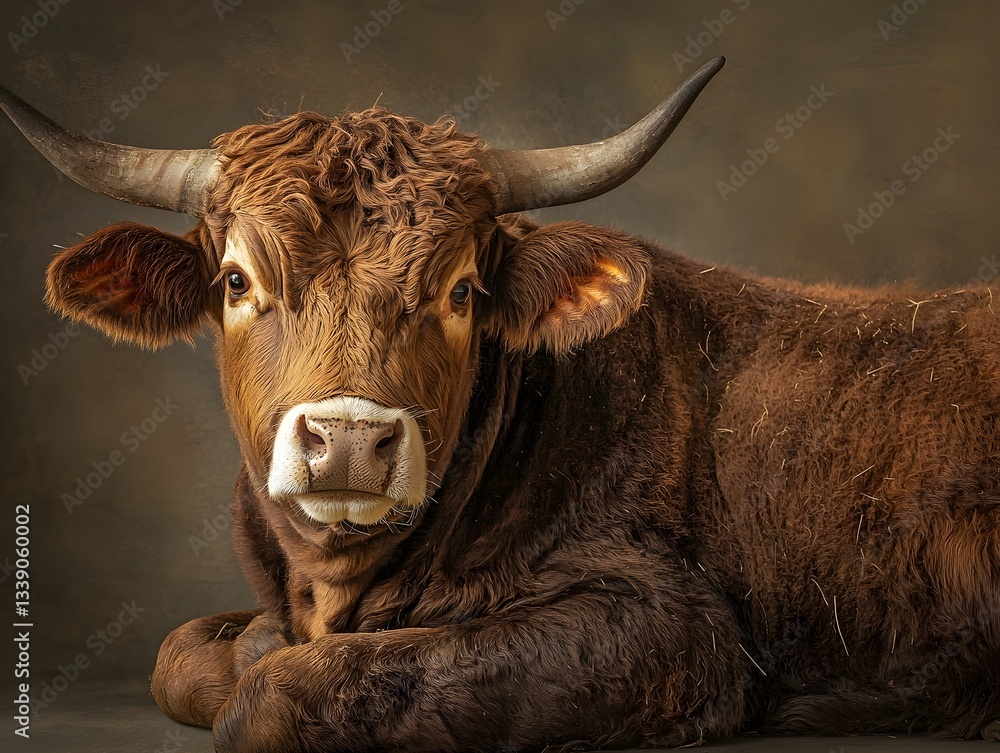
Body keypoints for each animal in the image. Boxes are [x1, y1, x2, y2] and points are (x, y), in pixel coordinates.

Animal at [2, 56, 999, 752]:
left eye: (461, 291)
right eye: (239, 280)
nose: (348, 440)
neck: (337, 588)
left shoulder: (672, 625)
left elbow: (278, 692)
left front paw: (270, 664)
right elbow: (180, 653)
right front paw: (250, 642)